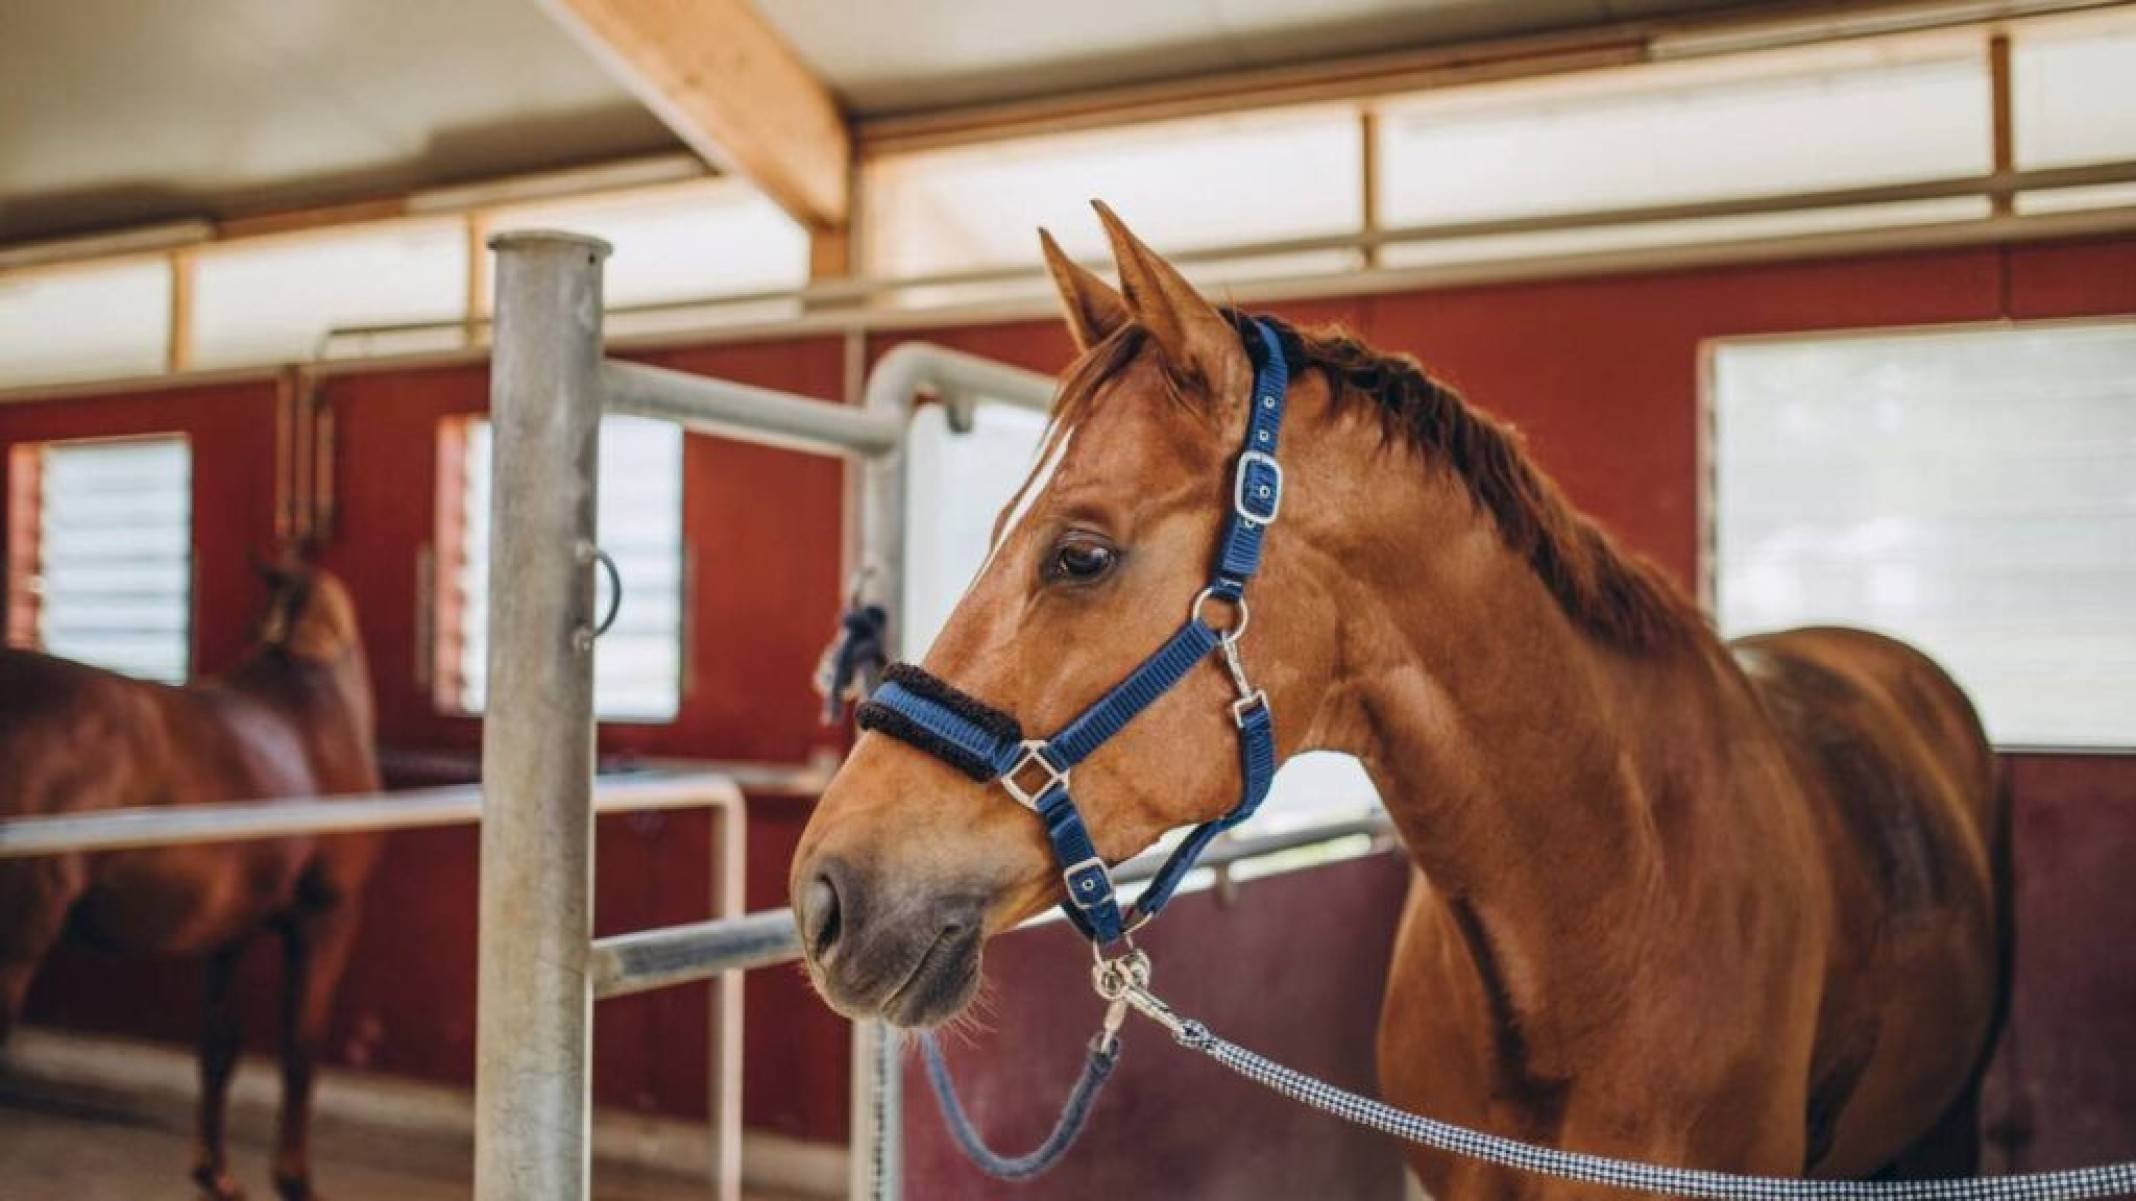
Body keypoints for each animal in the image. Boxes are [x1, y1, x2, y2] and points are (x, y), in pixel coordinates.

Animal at [0, 558, 382, 1201]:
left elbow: (219, 1046)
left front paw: (215, 1172)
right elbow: (300, 1048)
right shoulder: (327, 920)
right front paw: (294, 1179)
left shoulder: (229, 930)